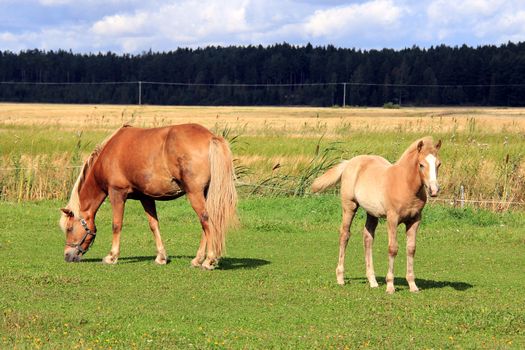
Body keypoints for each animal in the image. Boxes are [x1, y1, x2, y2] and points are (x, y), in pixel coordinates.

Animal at [58, 123, 236, 270]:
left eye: (69, 228)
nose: (67, 255)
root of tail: (211, 137)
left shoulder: (117, 193)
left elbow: (116, 225)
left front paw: (112, 256)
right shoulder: (146, 197)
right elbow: (154, 225)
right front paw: (161, 257)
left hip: (194, 193)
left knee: (206, 220)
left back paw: (209, 260)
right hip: (204, 193)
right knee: (205, 224)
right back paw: (198, 259)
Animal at [314, 137, 440, 292]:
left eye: (438, 164)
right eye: (421, 165)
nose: (434, 190)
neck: (404, 183)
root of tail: (349, 162)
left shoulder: (415, 220)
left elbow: (411, 249)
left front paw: (412, 285)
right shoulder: (392, 219)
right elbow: (393, 249)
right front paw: (390, 286)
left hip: (371, 213)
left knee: (368, 239)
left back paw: (372, 281)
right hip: (349, 206)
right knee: (345, 235)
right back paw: (340, 278)